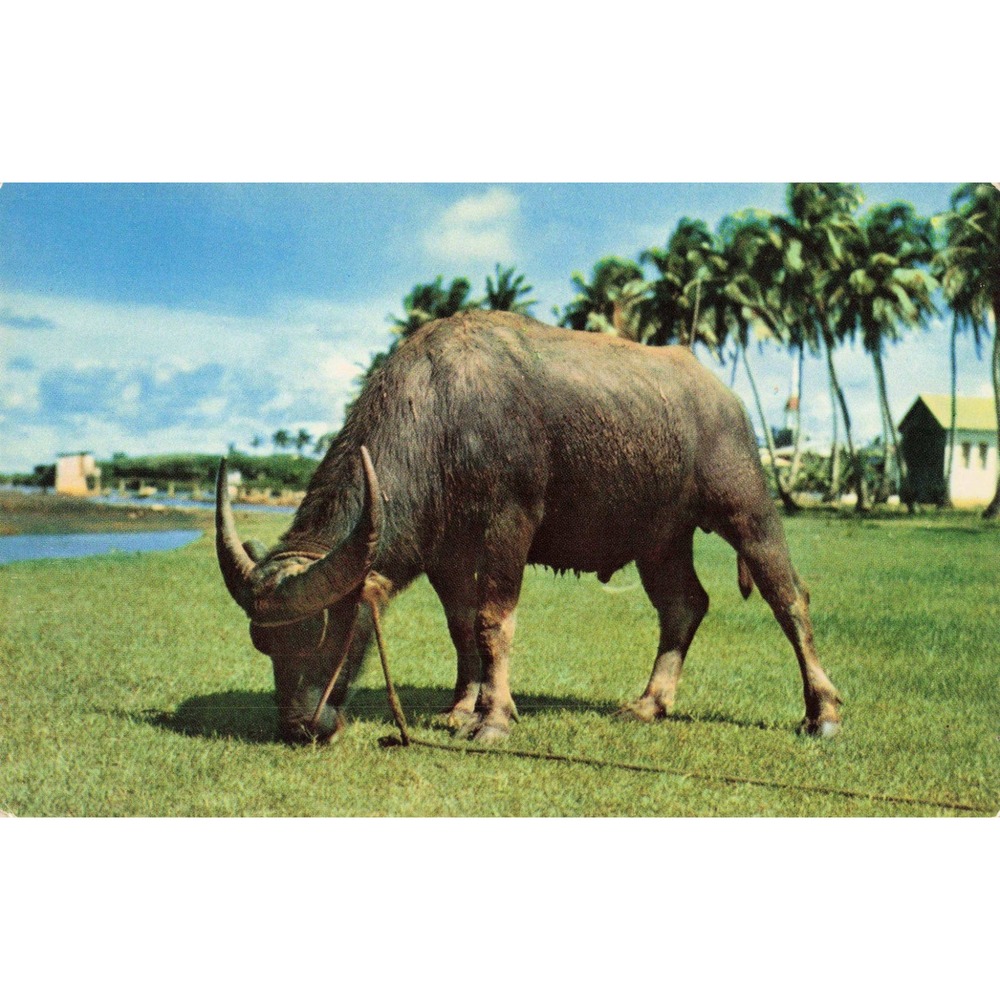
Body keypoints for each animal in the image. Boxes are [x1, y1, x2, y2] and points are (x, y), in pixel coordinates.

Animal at [216, 312, 842, 744]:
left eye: (328, 631)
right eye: (265, 643)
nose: (300, 726)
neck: (443, 416)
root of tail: (723, 395)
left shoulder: (510, 521)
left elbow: (493, 622)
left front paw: (493, 720)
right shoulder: (446, 552)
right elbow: (461, 627)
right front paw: (460, 708)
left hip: (747, 506)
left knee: (789, 596)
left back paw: (823, 712)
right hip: (659, 537)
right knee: (684, 605)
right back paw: (649, 703)